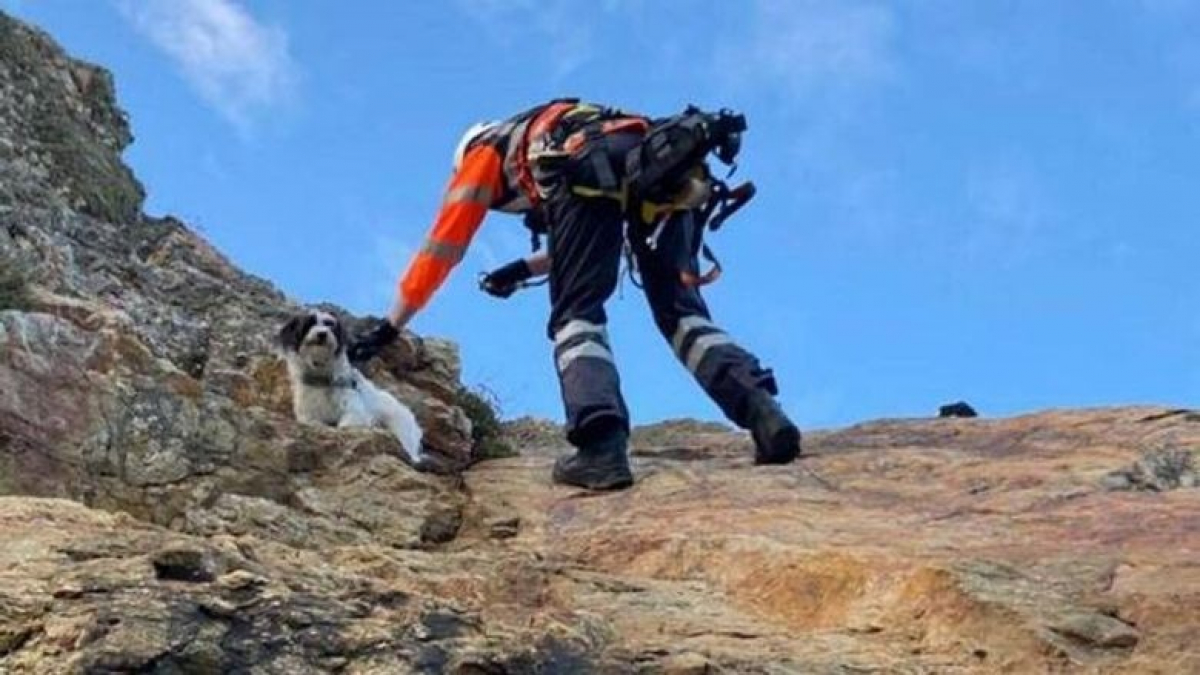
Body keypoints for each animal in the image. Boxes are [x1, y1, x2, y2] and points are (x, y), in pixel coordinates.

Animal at [274, 312, 424, 461]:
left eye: (330, 325)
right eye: (309, 323)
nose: (322, 334)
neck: (321, 377)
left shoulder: (356, 412)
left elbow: (345, 424)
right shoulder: (307, 415)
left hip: (402, 430)